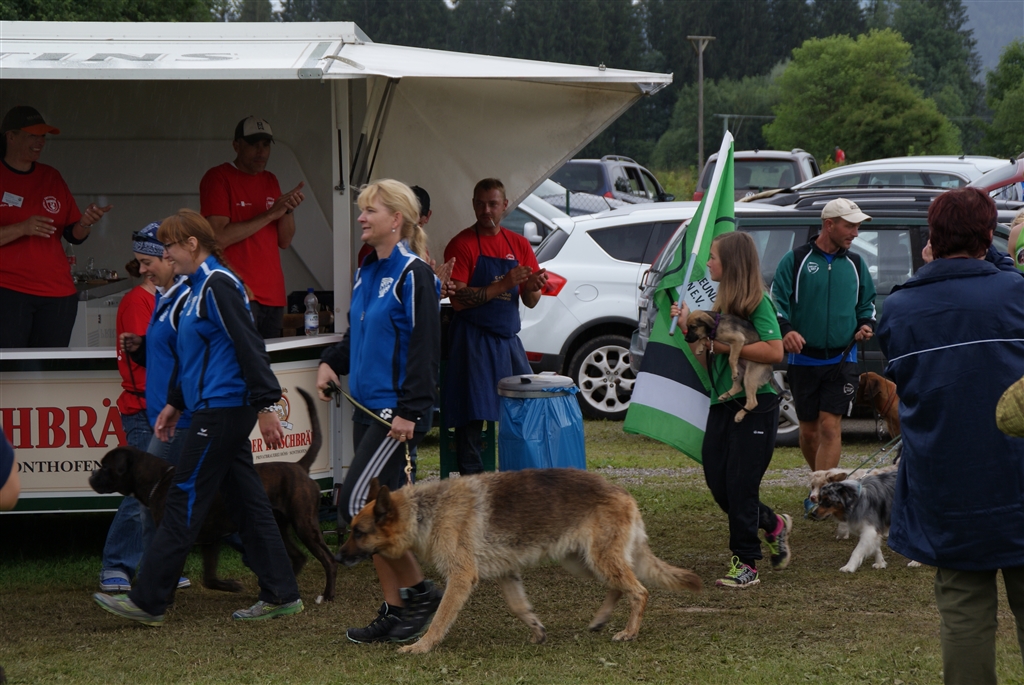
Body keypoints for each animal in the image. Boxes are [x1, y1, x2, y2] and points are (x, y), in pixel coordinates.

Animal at [89, 387, 337, 602]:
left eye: (106, 467)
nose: (91, 477)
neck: (159, 480)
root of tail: (299, 467)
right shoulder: (211, 539)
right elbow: (209, 578)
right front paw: (231, 585)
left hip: (305, 525)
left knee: (329, 559)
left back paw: (326, 595)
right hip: (281, 526)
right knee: (298, 557)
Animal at [338, 468, 702, 654]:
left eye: (358, 532)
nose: (338, 557)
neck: (425, 512)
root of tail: (624, 493)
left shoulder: (461, 578)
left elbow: (440, 618)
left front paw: (422, 646)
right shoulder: (506, 573)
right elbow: (518, 606)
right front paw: (536, 629)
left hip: (597, 559)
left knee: (639, 591)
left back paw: (629, 632)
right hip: (583, 562)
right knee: (619, 586)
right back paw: (601, 619)